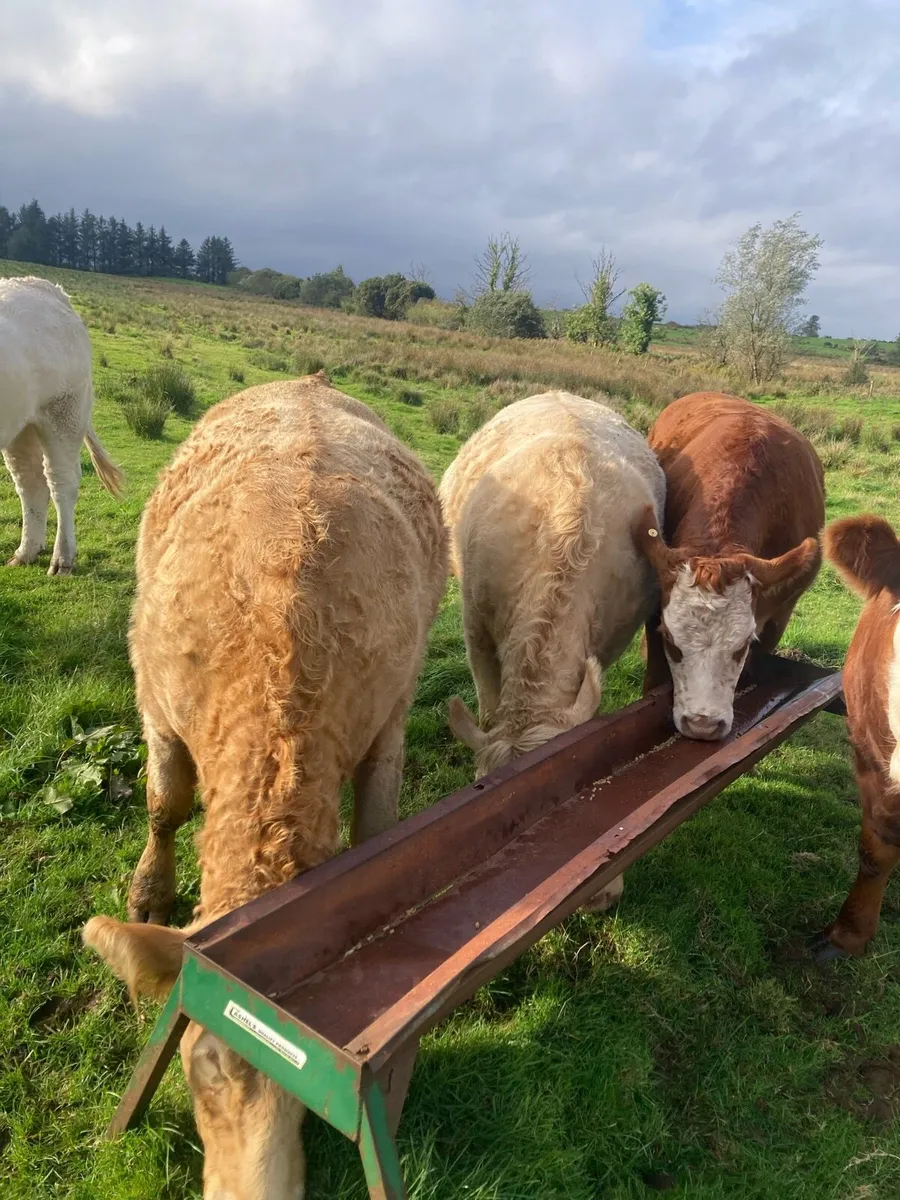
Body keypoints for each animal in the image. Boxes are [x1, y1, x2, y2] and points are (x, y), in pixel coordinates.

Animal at [1, 275, 123, 573]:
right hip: (21, 424)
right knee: (30, 481)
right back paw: (26, 551)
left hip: (64, 413)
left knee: (61, 482)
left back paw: (62, 559)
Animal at [82, 376, 448, 1200]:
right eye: (199, 1064)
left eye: (312, 1110)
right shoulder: (155, 701)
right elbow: (165, 805)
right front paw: (150, 891)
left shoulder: (390, 722)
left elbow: (378, 836)